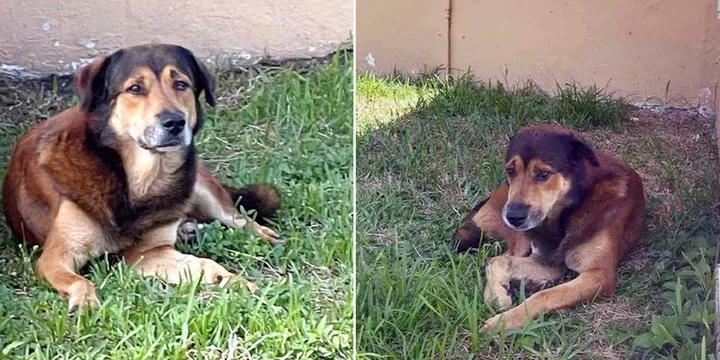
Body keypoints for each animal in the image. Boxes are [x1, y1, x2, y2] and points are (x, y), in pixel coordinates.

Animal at [3, 44, 284, 310]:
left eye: (181, 84)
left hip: (199, 186)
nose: (174, 122)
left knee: (238, 217)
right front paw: (84, 303)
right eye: (135, 88)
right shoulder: (55, 257)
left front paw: (238, 282)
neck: (136, 182)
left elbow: (207, 265)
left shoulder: (150, 253)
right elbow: (80, 281)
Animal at [450, 124, 648, 332]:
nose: (513, 217)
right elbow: (499, 261)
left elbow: (545, 295)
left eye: (543, 174)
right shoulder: (546, 260)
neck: (567, 212)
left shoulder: (599, 275)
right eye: (510, 171)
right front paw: (499, 297)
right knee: (499, 256)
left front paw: (501, 322)